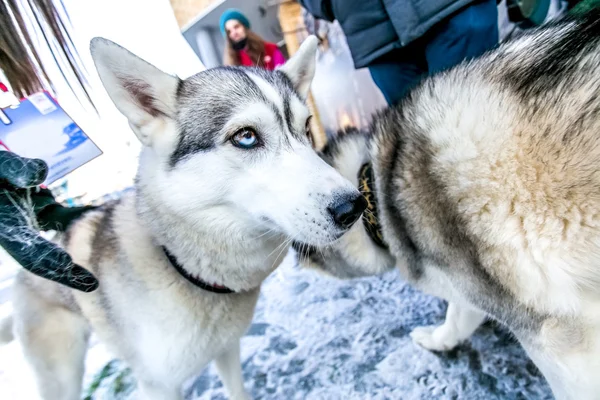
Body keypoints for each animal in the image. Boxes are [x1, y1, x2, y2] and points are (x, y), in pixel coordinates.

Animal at [0, 36, 366, 398]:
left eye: (306, 127)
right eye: (246, 136)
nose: (353, 207)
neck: (183, 266)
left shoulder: (227, 349)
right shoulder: (158, 386)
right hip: (62, 374)